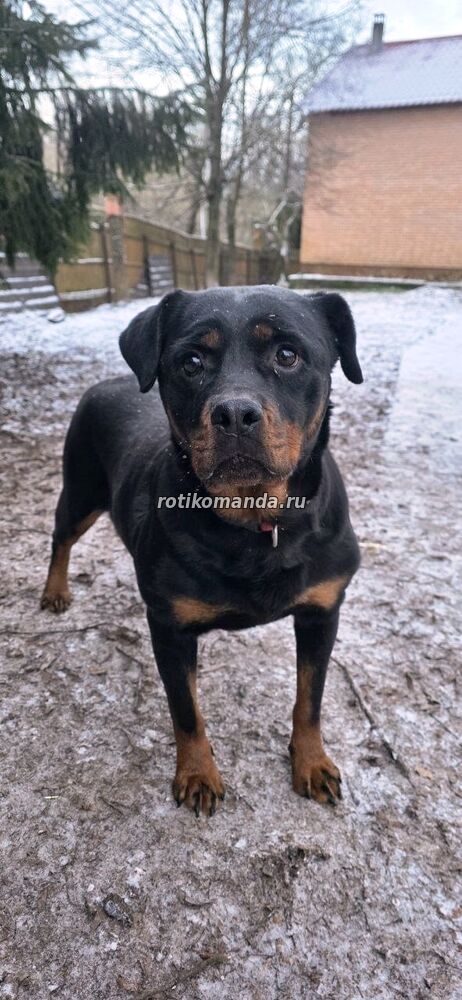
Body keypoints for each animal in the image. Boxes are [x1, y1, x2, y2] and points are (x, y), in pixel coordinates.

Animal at [41, 286, 363, 817]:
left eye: (288, 355)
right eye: (190, 362)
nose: (234, 414)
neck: (254, 524)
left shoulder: (323, 611)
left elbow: (310, 699)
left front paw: (311, 762)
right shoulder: (170, 628)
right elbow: (186, 710)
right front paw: (197, 774)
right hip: (82, 491)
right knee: (61, 537)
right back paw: (54, 591)